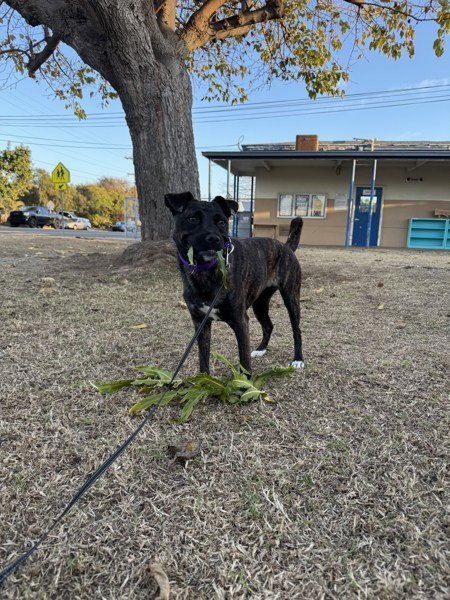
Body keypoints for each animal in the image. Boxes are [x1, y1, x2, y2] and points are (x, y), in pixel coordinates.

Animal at [166, 192, 306, 372]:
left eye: (221, 222)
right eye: (192, 219)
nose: (214, 238)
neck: (206, 272)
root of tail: (286, 246)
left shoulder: (240, 322)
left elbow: (245, 363)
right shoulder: (201, 325)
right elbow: (203, 361)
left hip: (291, 298)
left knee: (297, 330)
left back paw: (298, 359)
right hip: (260, 304)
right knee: (268, 326)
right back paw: (261, 349)